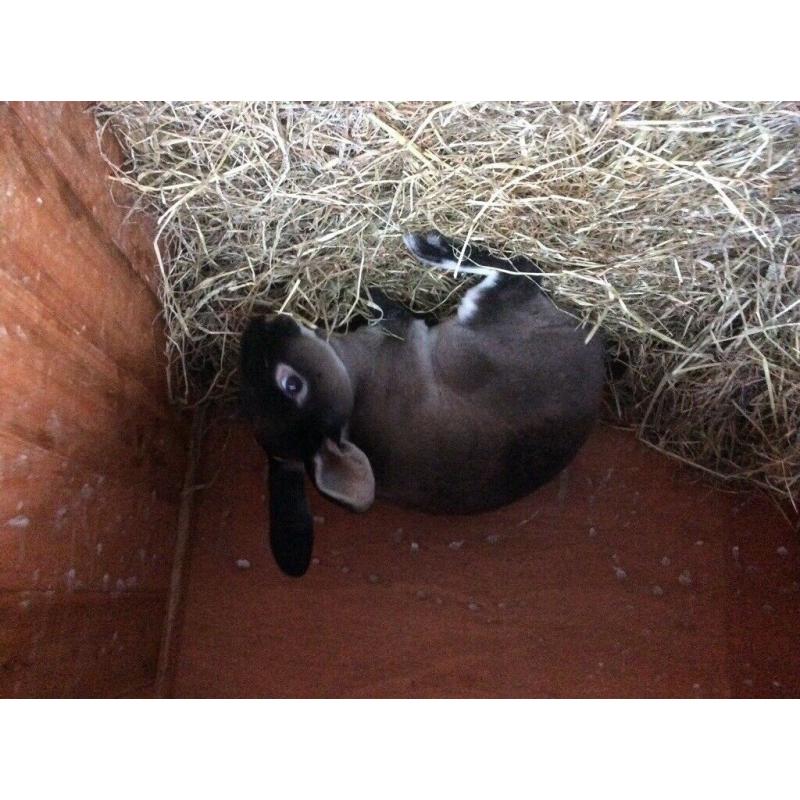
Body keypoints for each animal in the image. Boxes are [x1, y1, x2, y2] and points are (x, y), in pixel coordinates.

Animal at [241, 231, 605, 576]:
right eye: (291, 385)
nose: (255, 325)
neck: (353, 390)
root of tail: (593, 348)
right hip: (486, 308)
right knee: (519, 271)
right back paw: (429, 246)